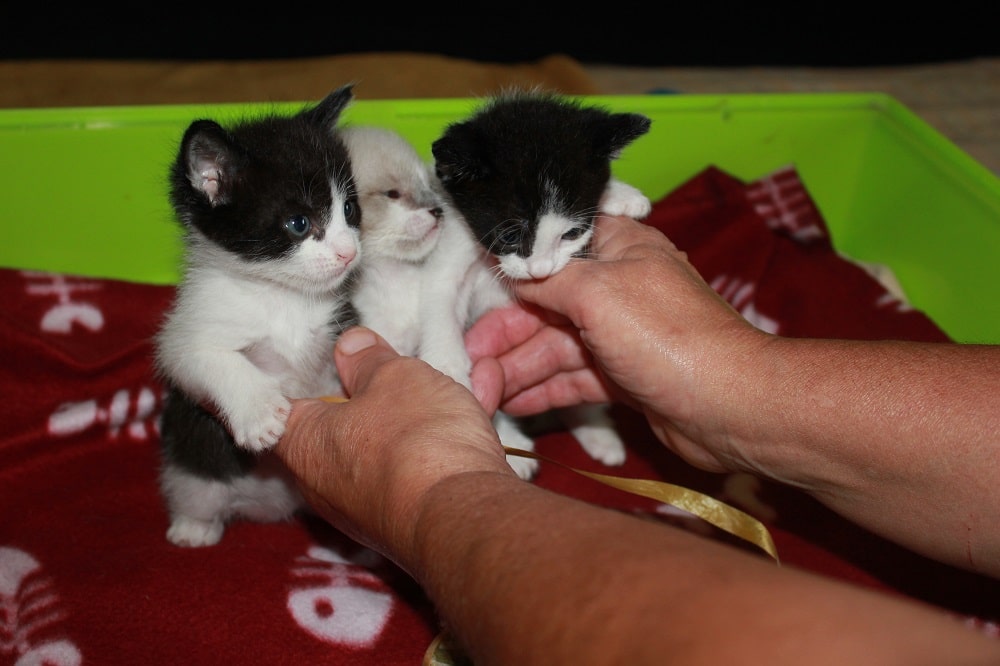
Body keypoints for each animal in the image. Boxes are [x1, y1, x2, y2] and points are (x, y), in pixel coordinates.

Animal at [154, 85, 362, 548]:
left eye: (350, 211)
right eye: (299, 223)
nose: (349, 252)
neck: (281, 294)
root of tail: (269, 506)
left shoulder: (341, 319)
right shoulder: (188, 327)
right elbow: (202, 356)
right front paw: (259, 412)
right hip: (195, 471)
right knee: (197, 492)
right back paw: (193, 528)